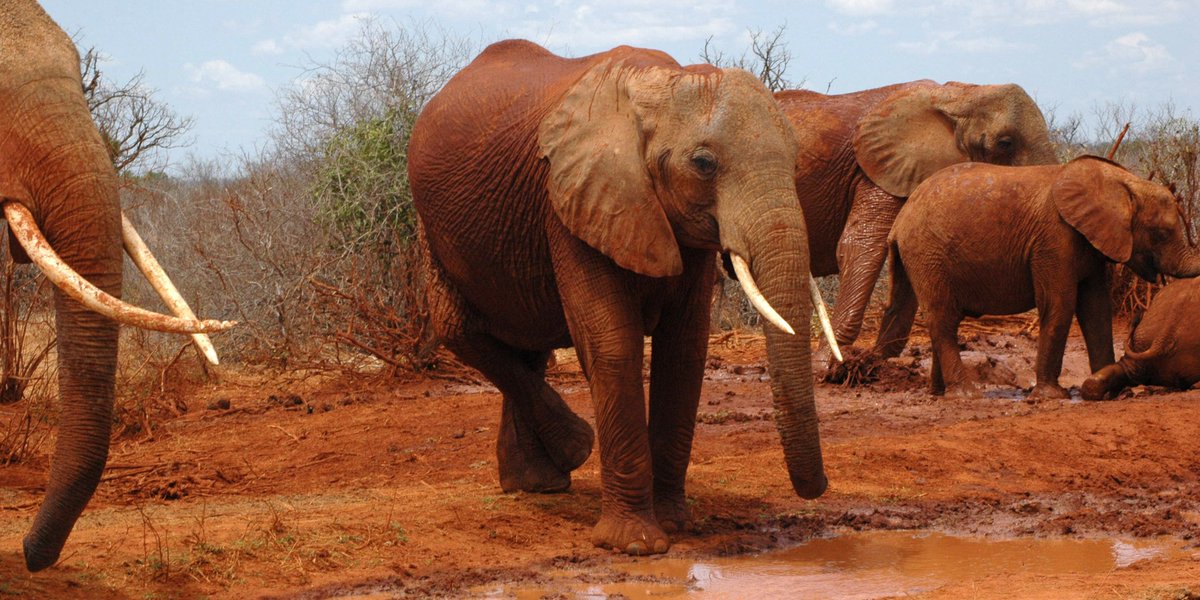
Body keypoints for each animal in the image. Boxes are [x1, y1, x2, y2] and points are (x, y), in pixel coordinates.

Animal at [408, 40, 834, 555]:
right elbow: (613, 345)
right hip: (432, 228)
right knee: (462, 330)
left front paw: (674, 524)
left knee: (528, 345)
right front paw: (636, 544)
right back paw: (571, 452)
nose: (818, 490)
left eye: (796, 161)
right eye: (704, 164)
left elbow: (684, 351)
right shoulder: (573, 199)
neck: (664, 84)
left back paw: (540, 484)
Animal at [773, 81, 1056, 369]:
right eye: (1005, 143)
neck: (960, 96)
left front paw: (880, 362)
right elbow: (862, 247)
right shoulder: (878, 170)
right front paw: (827, 365)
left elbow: (906, 252)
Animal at [873, 156, 1200, 399]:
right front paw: (1051, 397)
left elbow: (1095, 308)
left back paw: (939, 393)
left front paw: (1106, 391)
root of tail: (899, 223)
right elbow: (1060, 304)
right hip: (927, 253)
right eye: (1161, 233)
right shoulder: (1054, 238)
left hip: (919, 256)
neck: (1122, 182)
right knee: (943, 318)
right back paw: (966, 395)